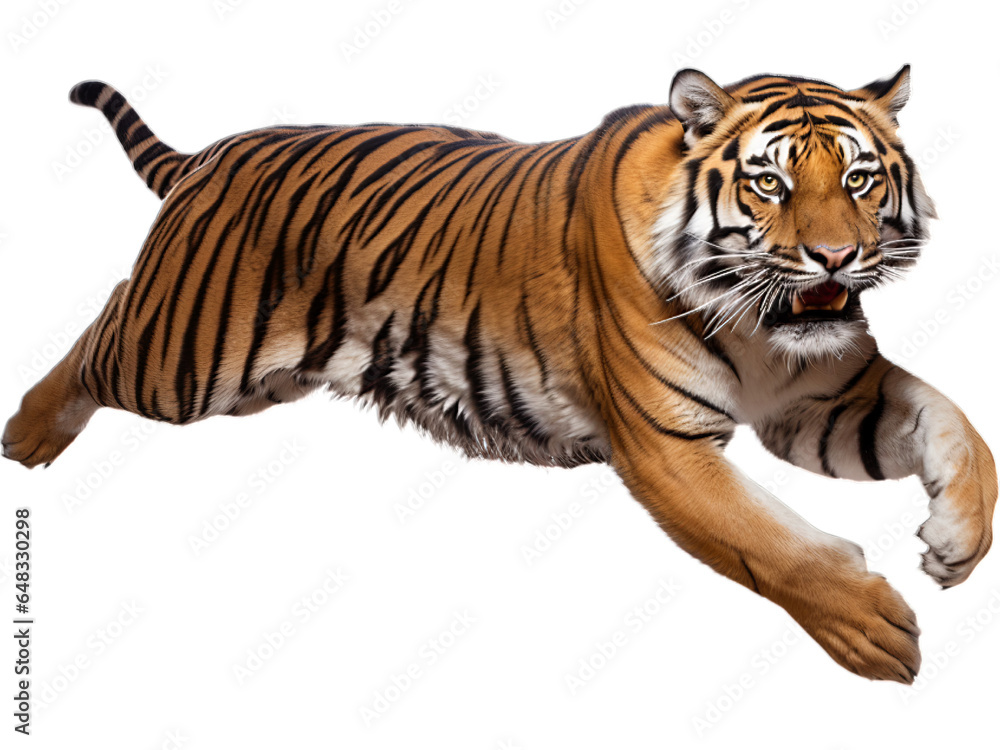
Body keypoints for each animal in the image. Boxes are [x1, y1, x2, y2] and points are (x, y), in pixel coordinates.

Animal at [3, 66, 995, 684]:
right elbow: (769, 543)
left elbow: (959, 429)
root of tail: (209, 155)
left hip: (256, 379)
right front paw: (872, 628)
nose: (836, 257)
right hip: (183, 359)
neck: (761, 323)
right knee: (104, 325)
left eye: (860, 179)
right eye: (770, 184)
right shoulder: (664, 446)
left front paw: (957, 542)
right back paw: (26, 434)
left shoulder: (822, 402)